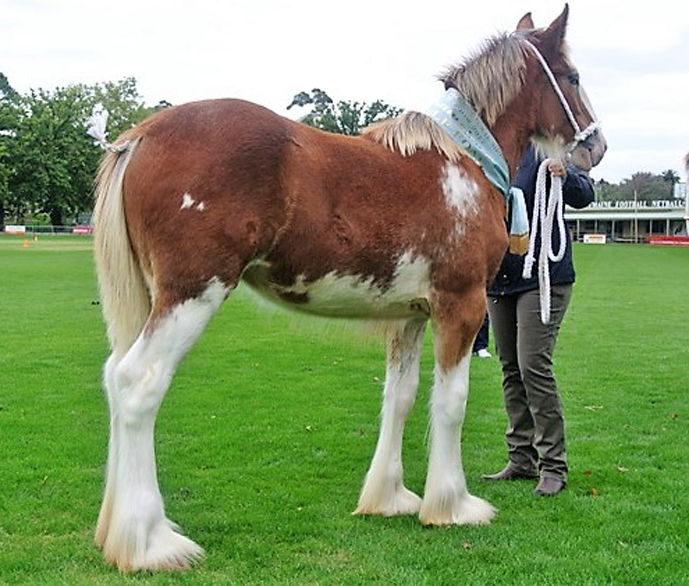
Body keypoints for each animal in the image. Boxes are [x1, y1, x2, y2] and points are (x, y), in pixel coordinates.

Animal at [91, 6, 606, 571]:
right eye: (573, 77)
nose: (597, 147)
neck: (462, 162)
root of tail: (140, 136)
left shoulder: (411, 316)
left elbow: (400, 397)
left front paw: (390, 497)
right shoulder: (462, 306)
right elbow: (452, 401)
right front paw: (452, 505)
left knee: (114, 378)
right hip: (192, 293)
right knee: (139, 384)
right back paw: (149, 542)